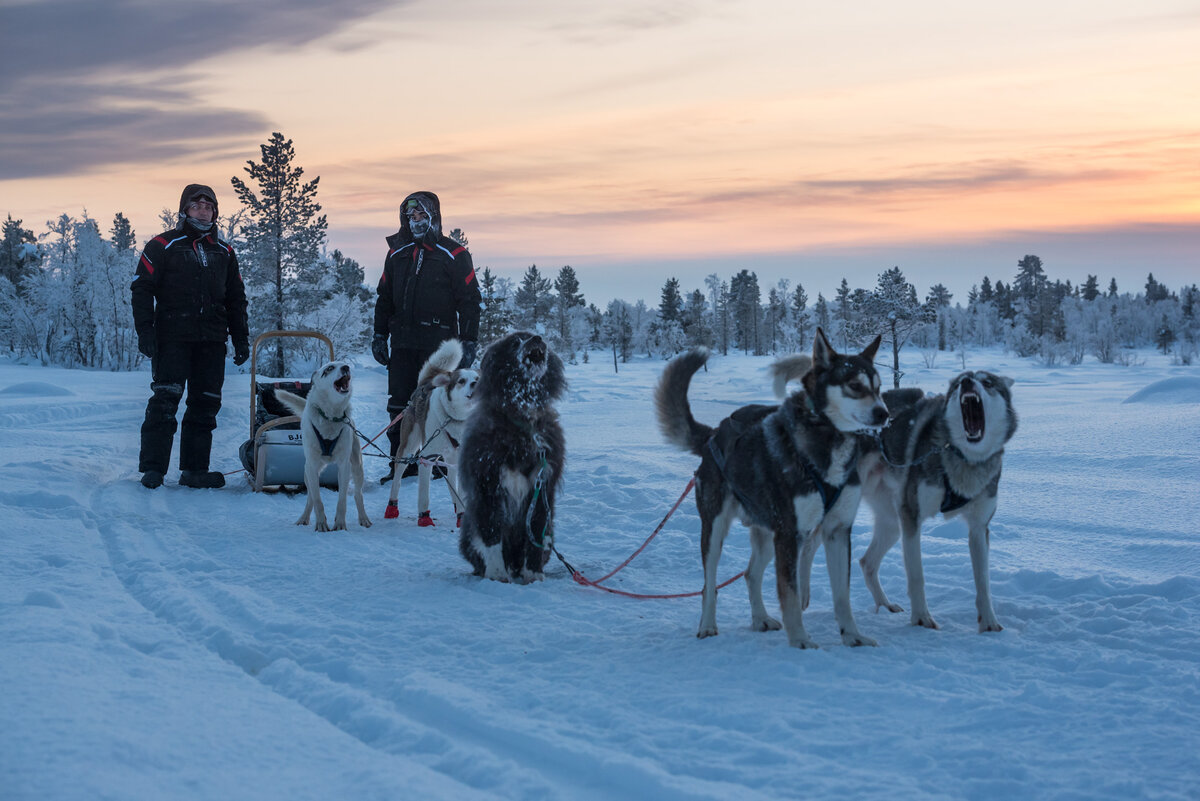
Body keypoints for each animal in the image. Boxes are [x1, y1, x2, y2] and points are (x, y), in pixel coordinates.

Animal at [276, 362, 369, 532]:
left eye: (343, 363)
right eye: (329, 368)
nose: (346, 367)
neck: (331, 417)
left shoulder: (344, 466)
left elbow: (342, 501)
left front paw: (340, 524)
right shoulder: (312, 466)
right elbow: (318, 500)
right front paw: (321, 524)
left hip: (357, 467)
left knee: (358, 495)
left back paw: (364, 518)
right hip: (307, 472)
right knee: (311, 497)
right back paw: (304, 518)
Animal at [384, 338, 477, 525]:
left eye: (478, 378)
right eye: (461, 380)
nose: (476, 383)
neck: (457, 420)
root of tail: (423, 386)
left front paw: (463, 515)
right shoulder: (427, 458)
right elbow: (424, 496)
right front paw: (424, 518)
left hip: (451, 457)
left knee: (452, 481)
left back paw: (457, 508)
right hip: (407, 448)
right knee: (397, 477)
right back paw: (391, 507)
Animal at [460, 330, 568, 582]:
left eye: (532, 336)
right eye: (515, 342)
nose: (538, 338)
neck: (522, 420)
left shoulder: (543, 487)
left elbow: (536, 529)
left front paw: (534, 574)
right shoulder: (487, 484)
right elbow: (491, 533)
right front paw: (497, 575)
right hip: (468, 532)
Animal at [657, 328, 892, 647]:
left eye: (879, 388)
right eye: (854, 385)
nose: (884, 414)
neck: (827, 442)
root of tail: (714, 434)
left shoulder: (837, 530)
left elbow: (842, 595)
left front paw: (852, 636)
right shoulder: (791, 533)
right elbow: (790, 594)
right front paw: (801, 641)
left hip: (769, 535)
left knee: (750, 575)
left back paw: (760, 619)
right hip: (717, 530)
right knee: (709, 584)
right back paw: (707, 626)